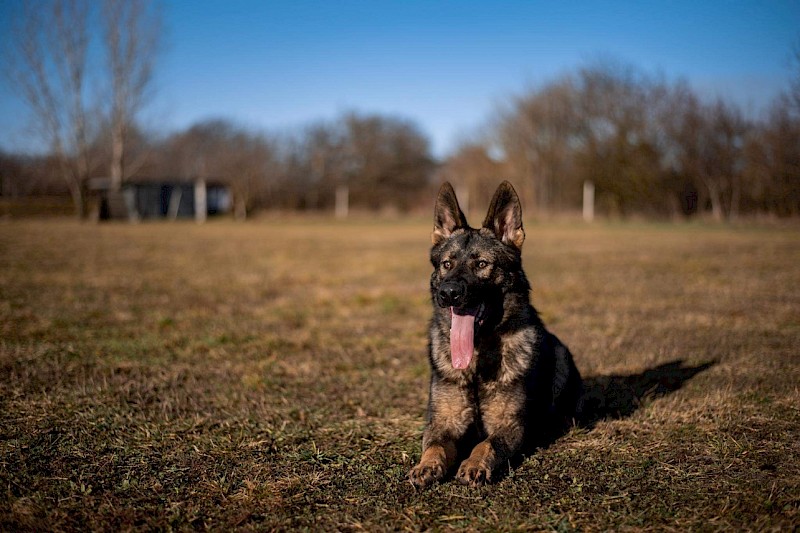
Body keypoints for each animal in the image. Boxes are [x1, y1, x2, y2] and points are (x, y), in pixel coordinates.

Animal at [408, 181, 583, 488]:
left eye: (481, 264)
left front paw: (473, 464)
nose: (448, 293)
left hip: (561, 354)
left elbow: (485, 444)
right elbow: (435, 445)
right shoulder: (442, 422)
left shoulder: (509, 426)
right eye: (447, 264)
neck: (476, 361)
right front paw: (425, 465)